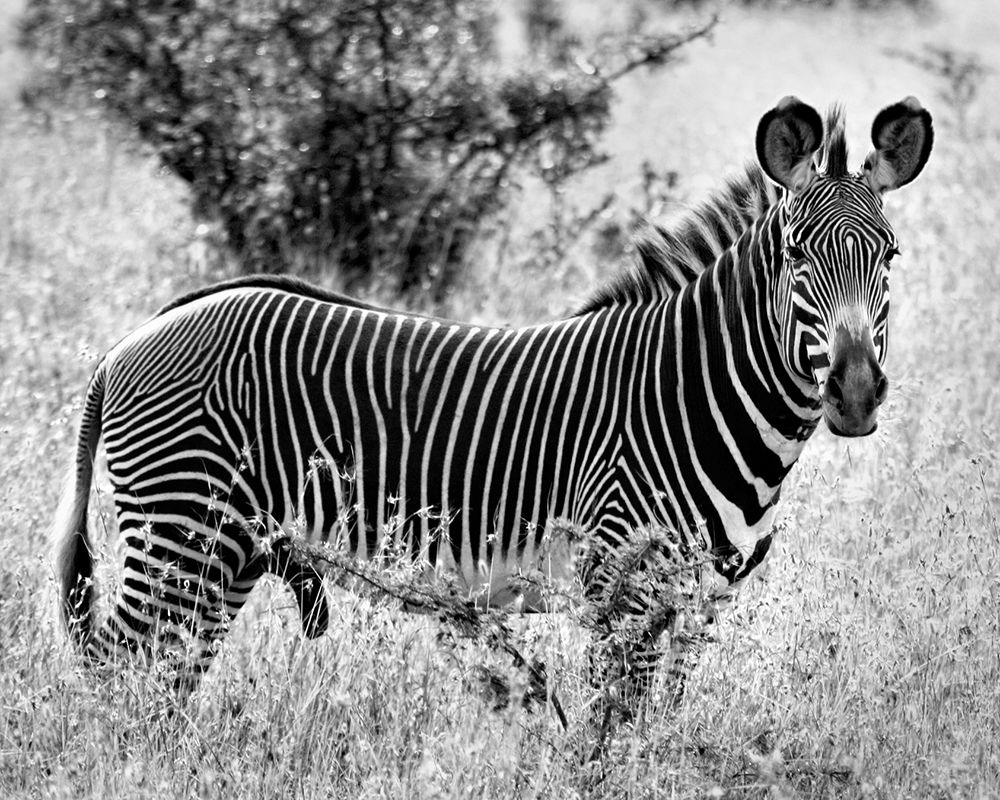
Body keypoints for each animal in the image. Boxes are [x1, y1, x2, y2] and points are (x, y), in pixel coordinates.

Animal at [54, 96, 932, 705]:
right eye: (794, 255)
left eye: (890, 256)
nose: (854, 392)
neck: (694, 391)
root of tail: (137, 335)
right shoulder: (621, 591)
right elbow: (614, 738)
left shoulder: (695, 606)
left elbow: (657, 733)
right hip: (181, 537)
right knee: (117, 675)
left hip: (224, 556)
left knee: (159, 687)